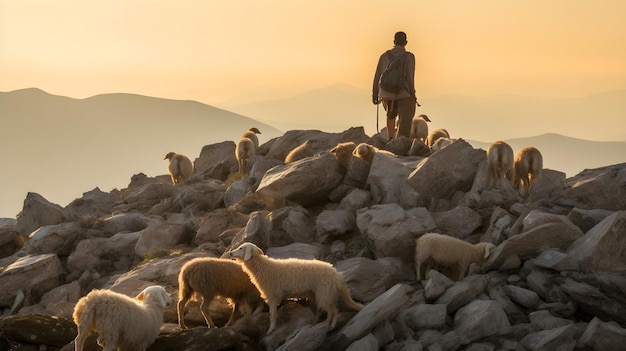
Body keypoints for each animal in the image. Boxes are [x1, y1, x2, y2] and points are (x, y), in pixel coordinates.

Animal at [227, 243, 360, 334]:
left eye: (241, 248)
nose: (230, 253)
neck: (262, 267)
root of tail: (337, 274)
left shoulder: (273, 295)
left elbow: (272, 315)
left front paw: (271, 330)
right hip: (322, 293)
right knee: (324, 310)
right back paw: (318, 323)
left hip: (324, 292)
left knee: (334, 311)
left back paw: (329, 326)